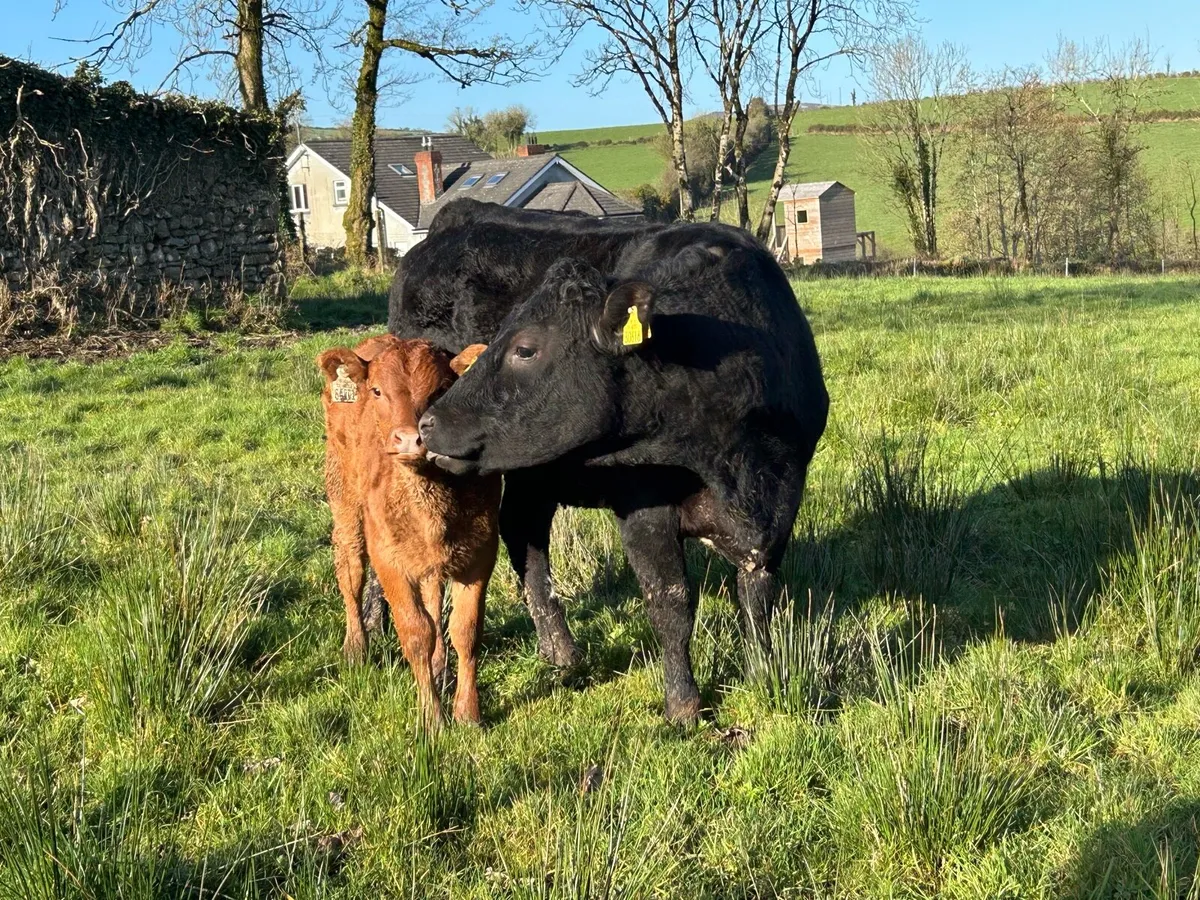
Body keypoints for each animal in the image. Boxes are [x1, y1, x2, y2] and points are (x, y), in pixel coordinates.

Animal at [316, 335, 498, 727]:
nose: (411, 439)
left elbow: (466, 630)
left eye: (442, 390)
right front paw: (432, 719)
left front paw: (467, 713)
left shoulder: (481, 553)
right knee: (350, 570)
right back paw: (355, 648)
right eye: (377, 391)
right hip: (344, 498)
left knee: (432, 592)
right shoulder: (389, 560)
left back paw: (439, 663)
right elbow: (415, 632)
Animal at [416, 231, 829, 722]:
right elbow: (671, 603)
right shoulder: (643, 506)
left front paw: (764, 676)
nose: (428, 422)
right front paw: (684, 706)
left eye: (525, 348)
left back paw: (560, 651)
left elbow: (758, 598)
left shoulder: (781, 505)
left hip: (533, 477)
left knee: (524, 534)